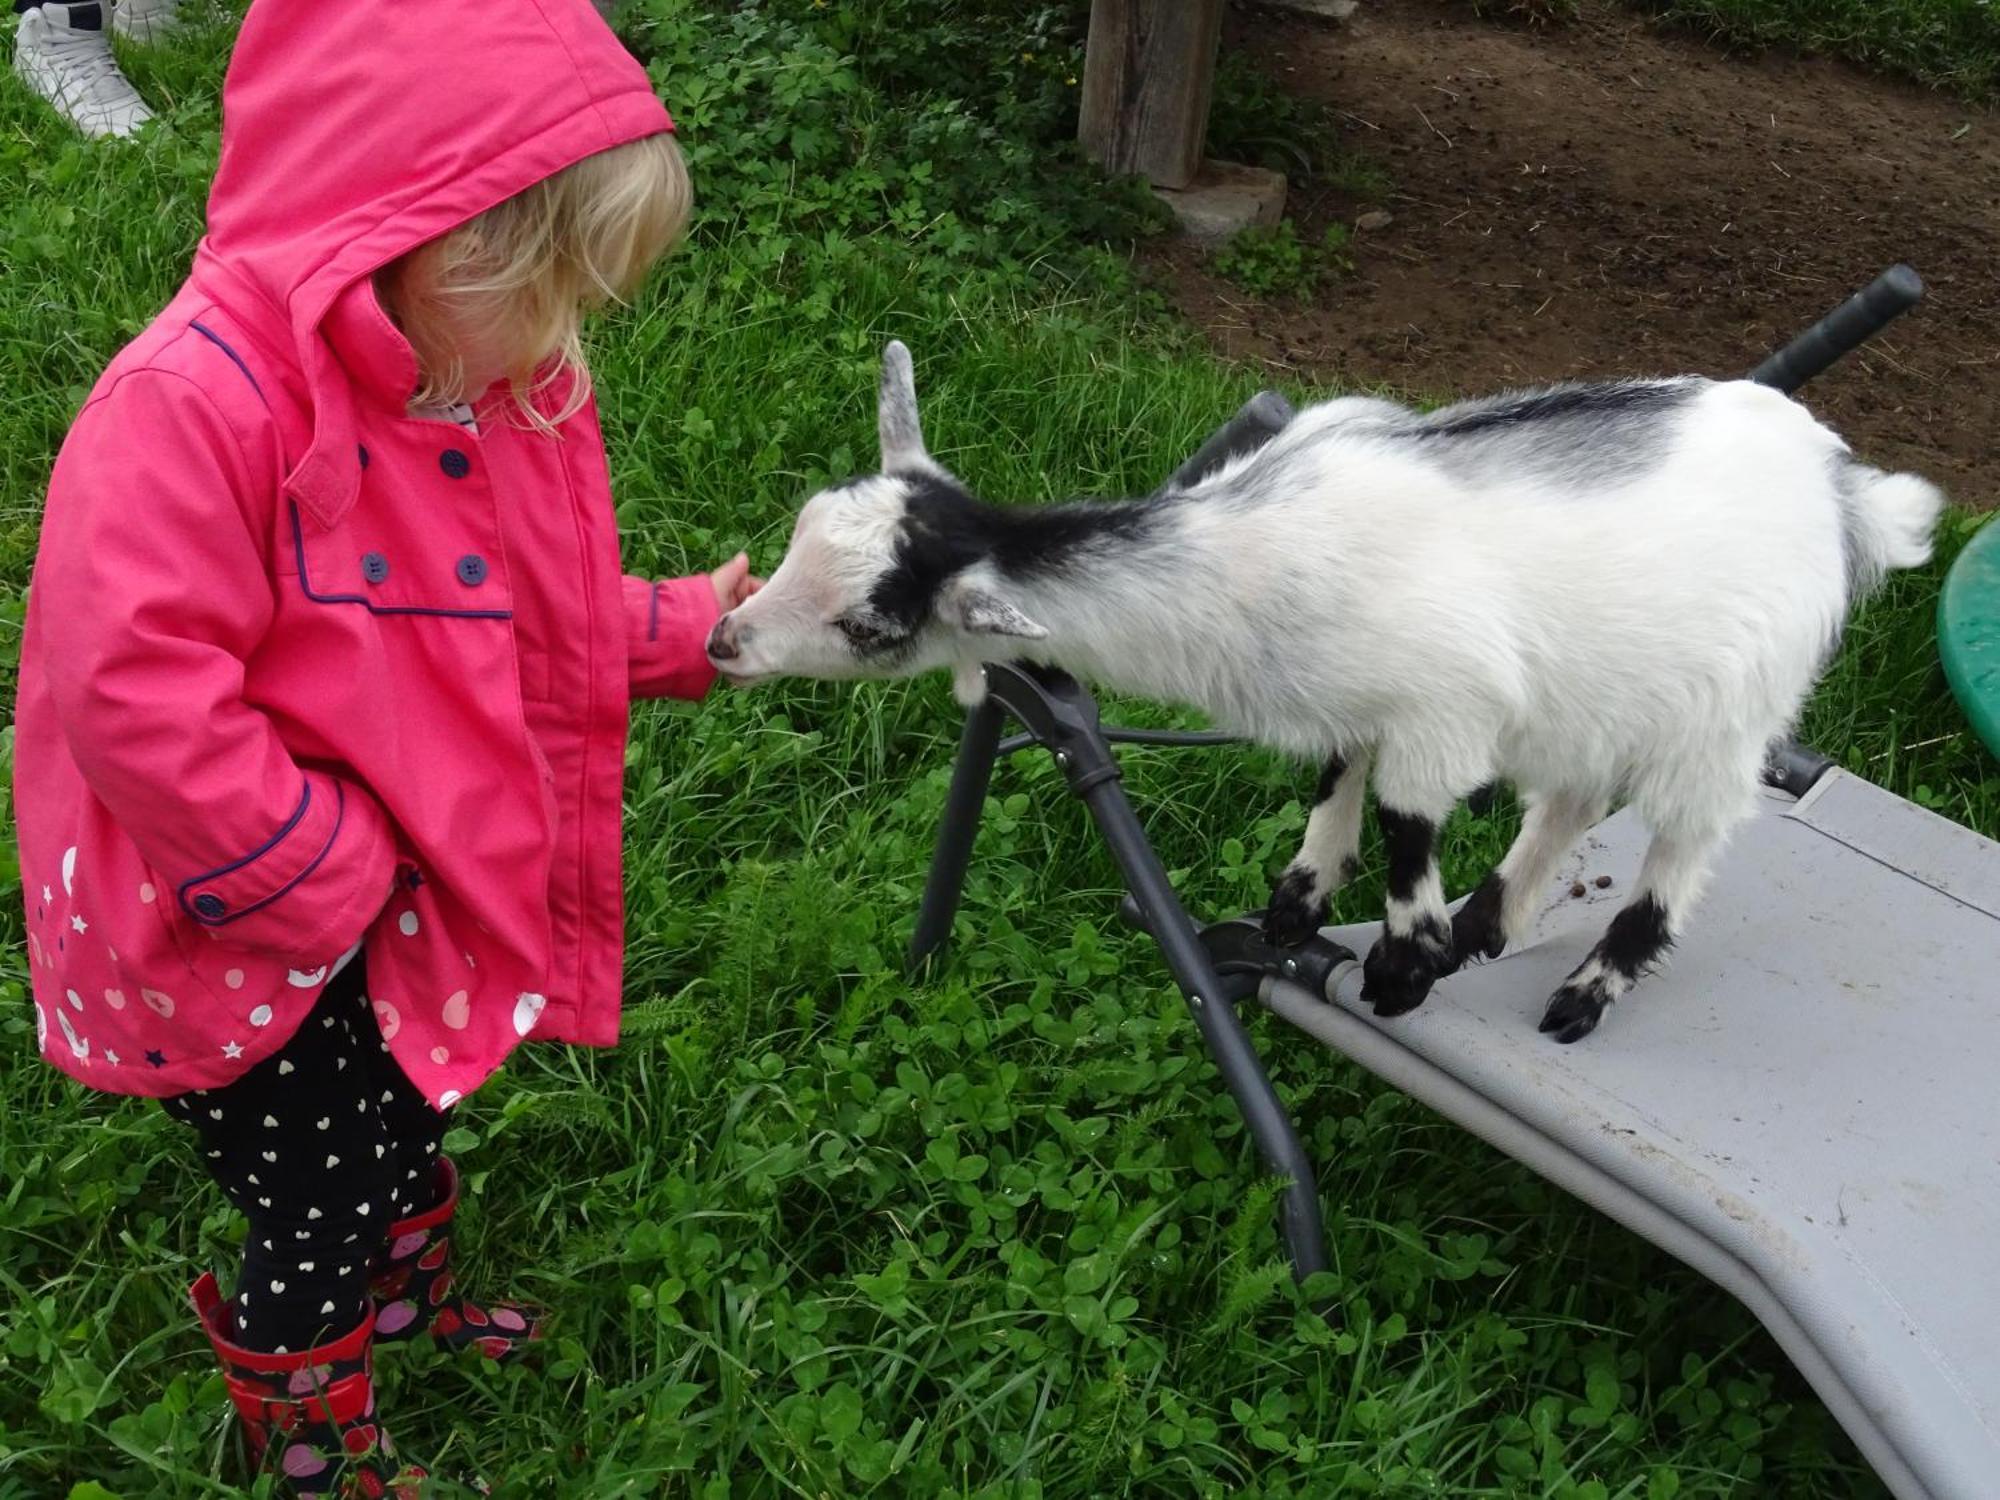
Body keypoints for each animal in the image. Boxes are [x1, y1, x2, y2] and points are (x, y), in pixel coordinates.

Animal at [712, 346, 1944, 1040]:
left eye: (870, 626)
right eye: (801, 526)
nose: (725, 638)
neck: (1255, 558)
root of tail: (1843, 487)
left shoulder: (1444, 710)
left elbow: (1405, 817)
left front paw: (1401, 968)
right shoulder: (1361, 698)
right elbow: (1335, 778)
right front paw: (1297, 904)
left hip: (1727, 711)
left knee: (1684, 842)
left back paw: (1582, 991)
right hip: (1602, 691)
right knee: (1572, 795)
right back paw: (1495, 919)